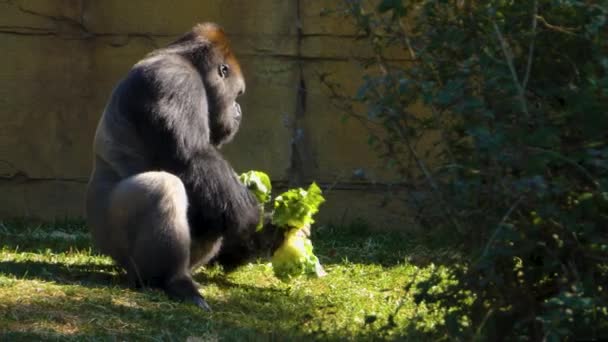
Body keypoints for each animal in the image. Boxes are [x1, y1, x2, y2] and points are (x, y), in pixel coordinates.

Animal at [85, 21, 282, 310]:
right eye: (238, 94)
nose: (238, 110)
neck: (186, 59)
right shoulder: (175, 80)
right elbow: (193, 156)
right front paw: (254, 218)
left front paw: (263, 236)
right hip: (109, 236)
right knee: (164, 188)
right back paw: (173, 280)